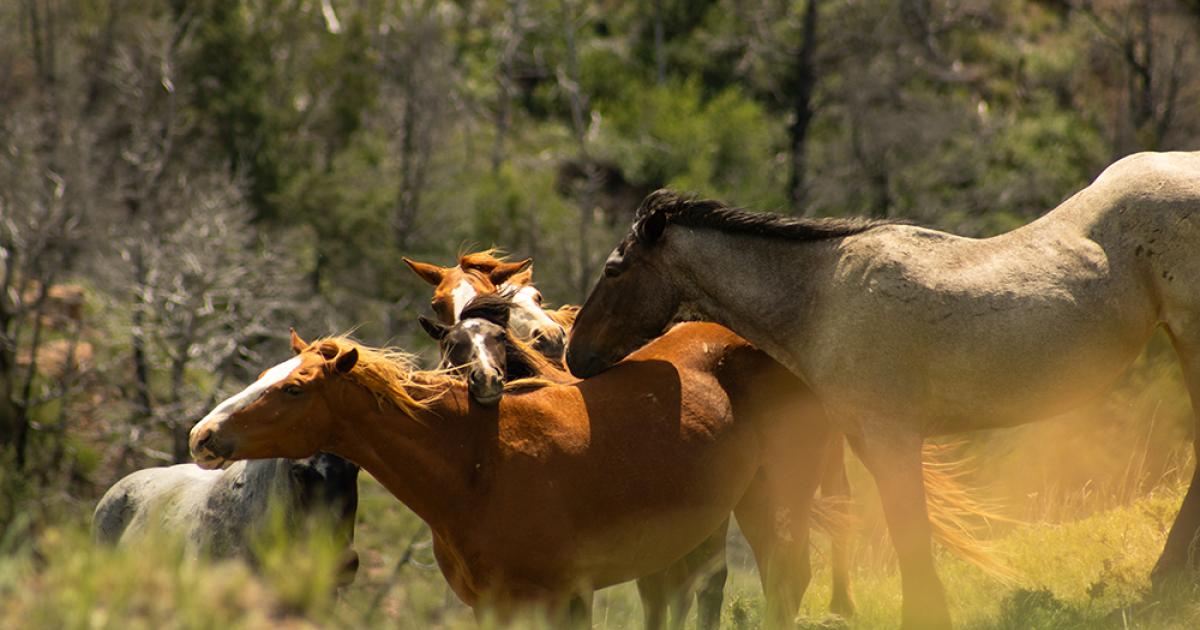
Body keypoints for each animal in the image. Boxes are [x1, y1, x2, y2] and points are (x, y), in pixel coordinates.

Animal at [188, 325, 852, 628]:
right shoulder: (492, 604)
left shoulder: (554, 598)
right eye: (268, 375)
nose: (202, 436)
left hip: (771, 498)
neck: (478, 465)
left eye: (294, 388)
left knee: (785, 580)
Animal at [565, 151, 1200, 629]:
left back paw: (1163, 580)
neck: (820, 296)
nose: (575, 354)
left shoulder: (890, 437)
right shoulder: (870, 443)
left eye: (615, 268)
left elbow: (909, 536)